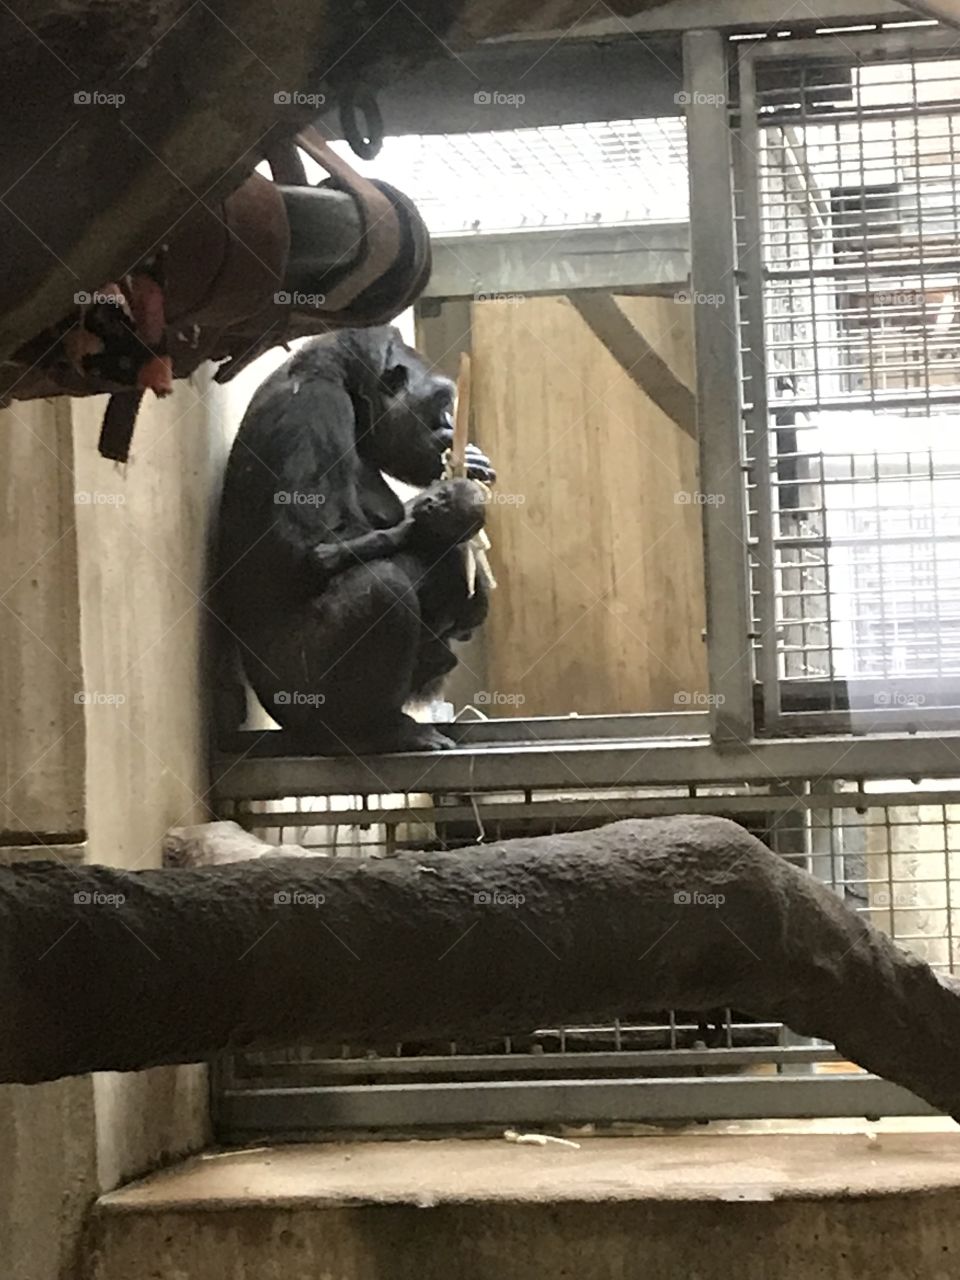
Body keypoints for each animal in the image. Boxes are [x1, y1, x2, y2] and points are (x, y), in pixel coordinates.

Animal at [217, 325, 496, 752]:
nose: (451, 423)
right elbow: (310, 550)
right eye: (441, 400)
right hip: (298, 698)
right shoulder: (315, 410)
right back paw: (381, 729)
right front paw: (451, 514)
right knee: (382, 587)